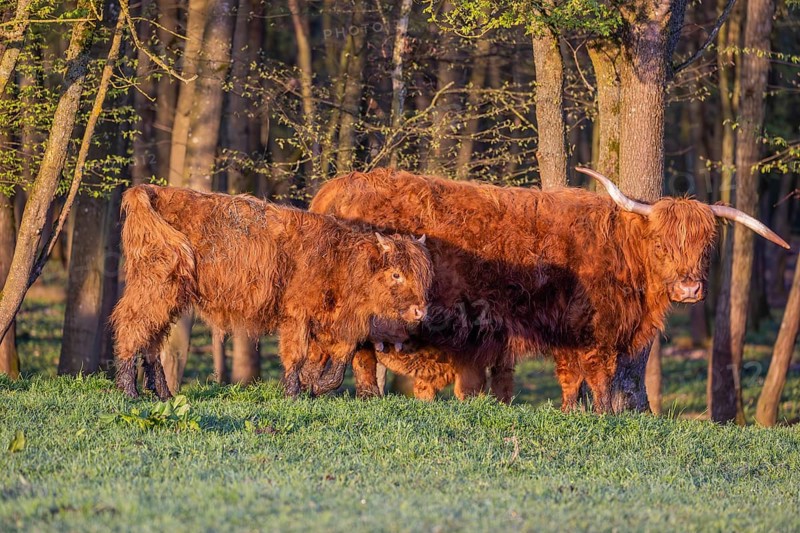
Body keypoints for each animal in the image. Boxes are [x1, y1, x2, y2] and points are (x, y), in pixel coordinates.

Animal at [111, 185, 432, 400]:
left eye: (423, 276)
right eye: (396, 274)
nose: (420, 310)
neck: (340, 262)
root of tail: (148, 190)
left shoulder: (337, 324)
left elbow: (338, 362)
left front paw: (313, 387)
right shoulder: (297, 315)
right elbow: (297, 355)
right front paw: (293, 393)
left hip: (170, 296)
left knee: (153, 340)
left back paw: (163, 393)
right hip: (154, 287)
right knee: (132, 327)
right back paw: (129, 391)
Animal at [310, 167, 789, 412]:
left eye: (705, 246)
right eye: (661, 244)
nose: (690, 288)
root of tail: (336, 186)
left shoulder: (565, 332)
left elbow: (569, 377)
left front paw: (571, 411)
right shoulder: (594, 331)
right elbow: (598, 376)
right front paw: (602, 415)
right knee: (362, 351)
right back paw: (370, 397)